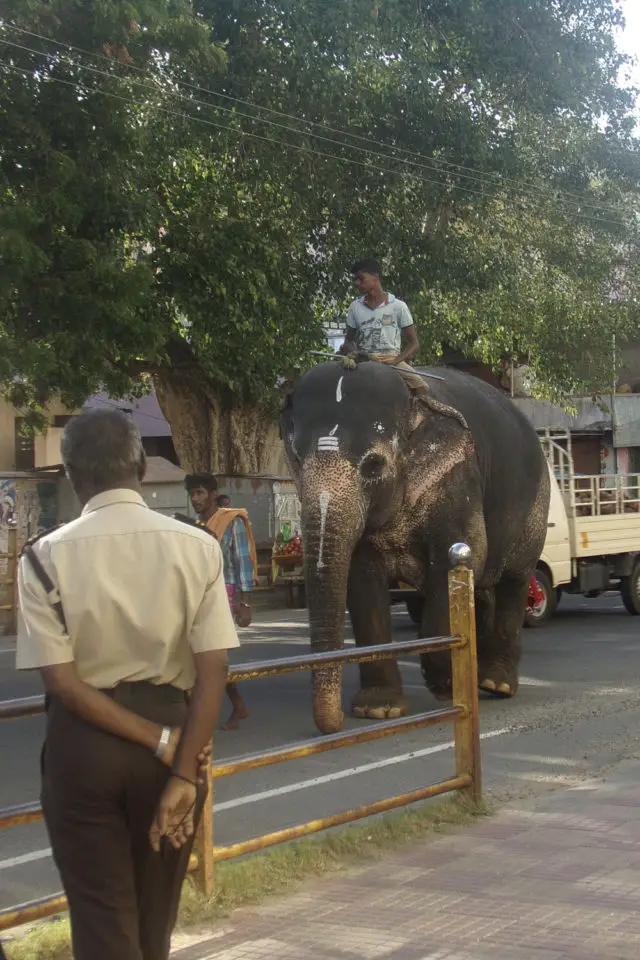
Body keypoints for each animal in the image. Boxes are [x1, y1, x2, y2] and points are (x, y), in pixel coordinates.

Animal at [280, 358, 552, 736]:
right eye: (296, 458)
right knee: (483, 590)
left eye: (373, 465)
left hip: (535, 509)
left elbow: (463, 554)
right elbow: (362, 581)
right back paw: (479, 677)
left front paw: (445, 686)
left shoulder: (457, 480)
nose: (334, 726)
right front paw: (378, 710)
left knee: (514, 580)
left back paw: (495, 684)